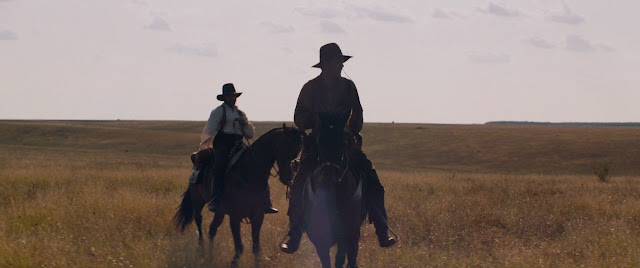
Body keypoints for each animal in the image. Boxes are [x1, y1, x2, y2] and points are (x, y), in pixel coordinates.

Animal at [174, 124, 304, 264]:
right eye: (283, 146)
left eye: (298, 150)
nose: (288, 178)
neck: (249, 173)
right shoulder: (235, 216)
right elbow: (239, 247)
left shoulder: (258, 216)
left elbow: (256, 249)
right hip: (198, 201)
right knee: (198, 221)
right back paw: (201, 249)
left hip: (219, 212)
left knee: (212, 230)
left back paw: (210, 255)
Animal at [302, 111, 362, 268]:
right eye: (319, 141)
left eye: (344, 142)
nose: (329, 175)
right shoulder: (320, 242)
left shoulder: (348, 235)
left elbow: (343, 258)